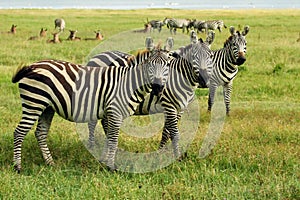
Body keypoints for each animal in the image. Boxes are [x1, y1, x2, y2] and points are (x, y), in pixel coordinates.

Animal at [11, 41, 171, 172]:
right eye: (150, 65)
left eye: (167, 66)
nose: (158, 87)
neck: (128, 83)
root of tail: (32, 66)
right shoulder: (115, 111)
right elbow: (113, 140)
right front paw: (111, 167)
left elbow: (110, 139)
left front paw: (106, 162)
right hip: (34, 103)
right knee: (19, 132)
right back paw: (18, 167)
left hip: (47, 107)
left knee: (40, 133)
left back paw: (50, 163)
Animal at [85, 35, 214, 161]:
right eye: (194, 57)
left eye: (211, 56)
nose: (204, 80)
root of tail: (94, 57)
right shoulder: (169, 105)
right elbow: (174, 133)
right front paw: (177, 157)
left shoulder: (179, 108)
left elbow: (167, 132)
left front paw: (161, 151)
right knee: (92, 122)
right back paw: (92, 146)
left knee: (104, 121)